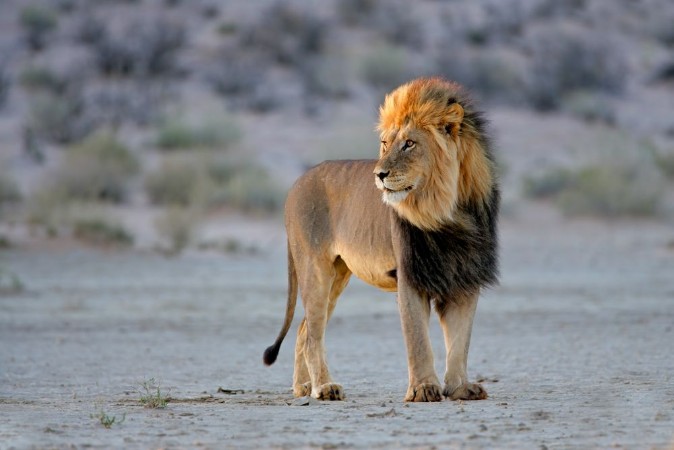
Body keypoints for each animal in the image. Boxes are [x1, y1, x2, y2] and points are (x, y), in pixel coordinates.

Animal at [263, 77, 499, 402]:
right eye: (385, 144)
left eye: (409, 143)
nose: (379, 174)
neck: (448, 211)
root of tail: (297, 183)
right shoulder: (410, 276)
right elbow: (418, 339)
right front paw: (423, 389)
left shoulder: (465, 277)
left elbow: (460, 341)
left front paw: (460, 387)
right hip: (315, 268)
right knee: (312, 334)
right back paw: (325, 387)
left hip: (338, 274)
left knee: (303, 329)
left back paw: (303, 388)